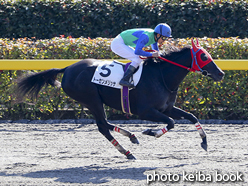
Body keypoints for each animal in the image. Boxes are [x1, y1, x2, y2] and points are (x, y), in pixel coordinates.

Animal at [18, 38, 225, 159]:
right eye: (204, 56)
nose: (221, 74)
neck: (161, 77)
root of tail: (67, 68)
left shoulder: (166, 108)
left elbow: (191, 116)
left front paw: (204, 142)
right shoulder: (146, 111)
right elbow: (171, 123)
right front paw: (150, 132)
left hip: (93, 102)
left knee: (105, 124)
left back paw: (131, 138)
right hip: (91, 99)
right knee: (102, 126)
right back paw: (127, 151)